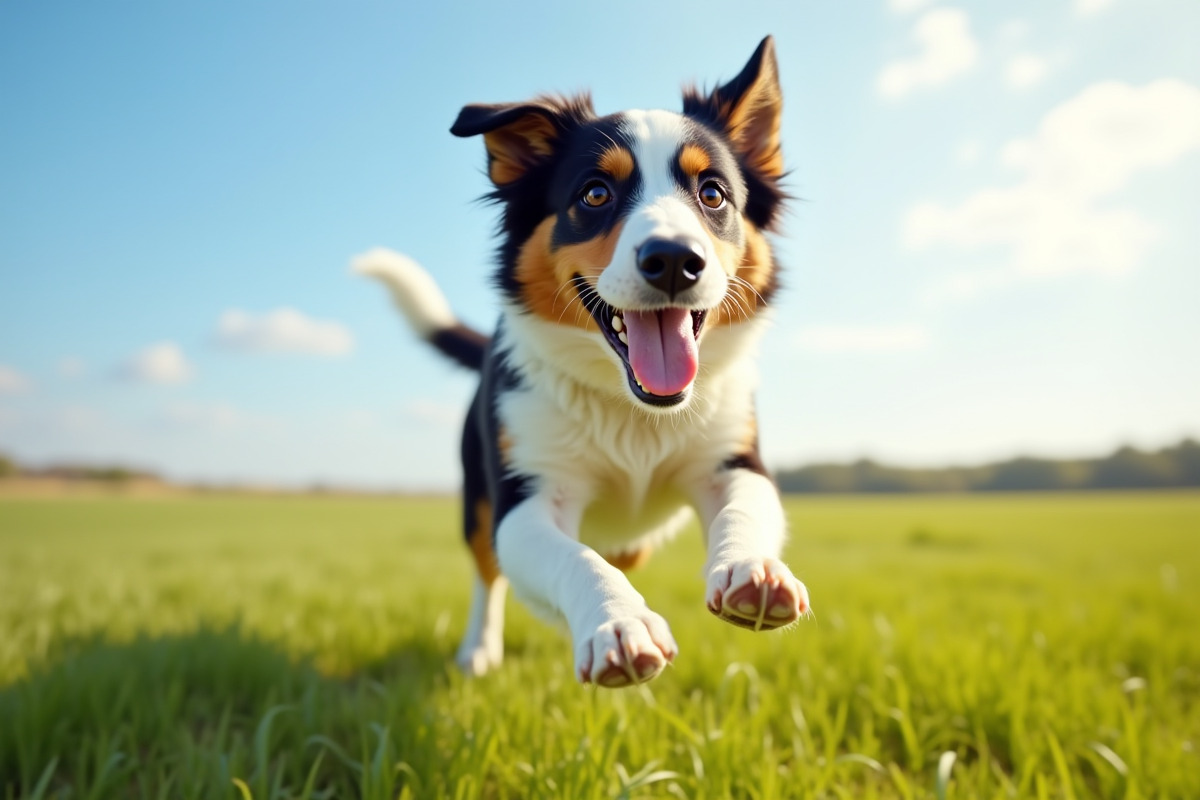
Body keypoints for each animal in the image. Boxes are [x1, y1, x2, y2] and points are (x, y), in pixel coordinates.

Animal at [350, 37, 811, 690]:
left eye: (713, 193)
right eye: (595, 194)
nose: (674, 259)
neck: (633, 410)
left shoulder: (733, 460)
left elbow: (744, 510)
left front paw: (754, 571)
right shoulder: (525, 499)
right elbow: (578, 559)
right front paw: (619, 625)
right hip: (476, 495)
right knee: (487, 573)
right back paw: (479, 650)